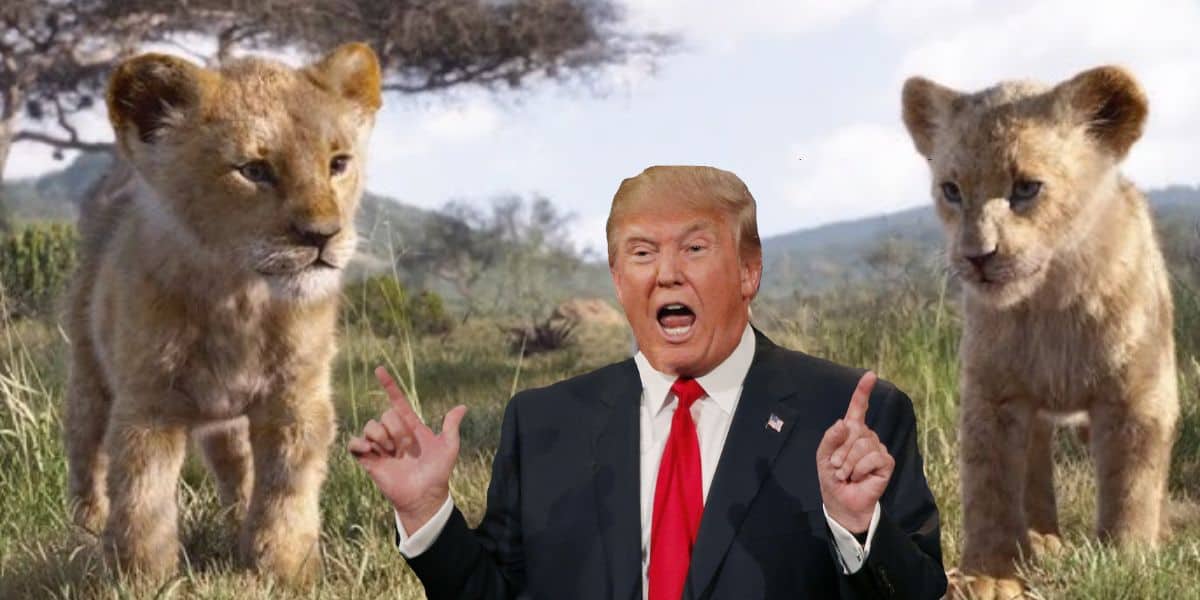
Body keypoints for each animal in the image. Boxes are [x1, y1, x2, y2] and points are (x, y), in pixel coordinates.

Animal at [63, 43, 381, 584]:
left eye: (338, 163)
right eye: (253, 170)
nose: (322, 236)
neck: (239, 298)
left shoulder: (297, 398)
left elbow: (285, 491)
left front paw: (283, 569)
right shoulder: (148, 403)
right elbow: (143, 496)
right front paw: (142, 577)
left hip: (227, 421)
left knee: (237, 470)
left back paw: (236, 523)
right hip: (89, 381)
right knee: (88, 458)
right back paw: (84, 530)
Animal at [901, 66, 1179, 598]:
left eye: (1027, 187)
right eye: (952, 190)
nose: (977, 256)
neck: (1051, 298)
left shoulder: (1139, 394)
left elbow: (1131, 483)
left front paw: (1127, 561)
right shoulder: (992, 394)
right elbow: (988, 485)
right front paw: (989, 575)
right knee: (1033, 461)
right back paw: (1042, 542)